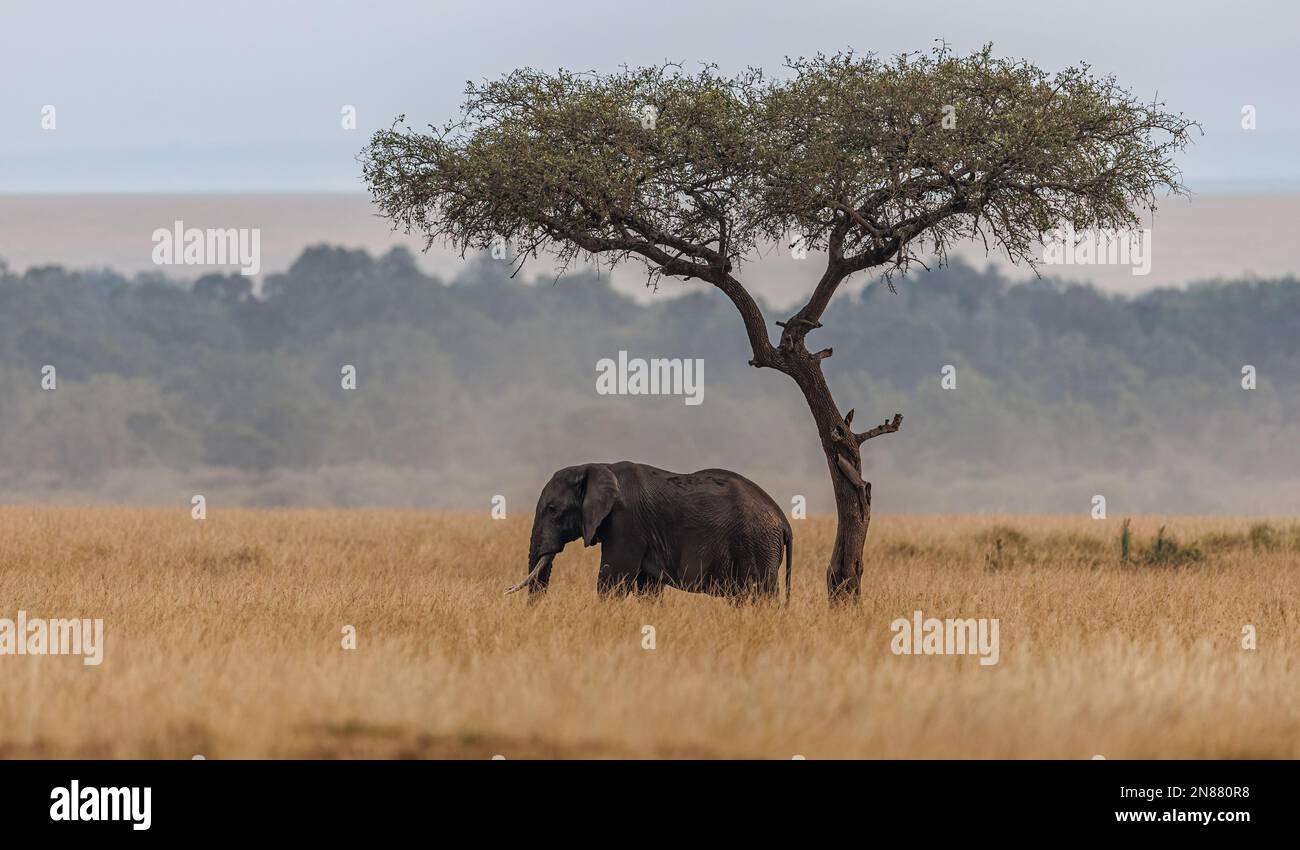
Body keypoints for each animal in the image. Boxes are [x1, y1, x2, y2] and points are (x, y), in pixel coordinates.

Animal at [504, 462, 790, 603]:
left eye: (553, 510)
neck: (595, 466)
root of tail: (784, 520)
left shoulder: (626, 522)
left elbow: (613, 580)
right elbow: (648, 588)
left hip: (757, 544)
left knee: (761, 594)